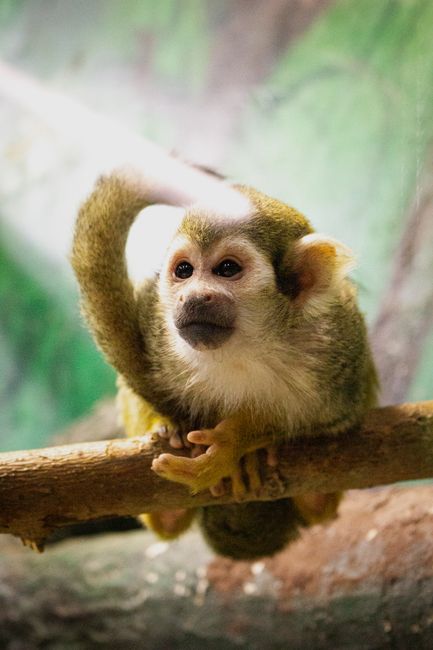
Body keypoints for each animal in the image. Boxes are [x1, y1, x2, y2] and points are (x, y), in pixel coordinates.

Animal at [71, 167, 378, 559]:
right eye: (184, 270)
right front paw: (171, 425)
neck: (249, 345)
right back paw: (169, 509)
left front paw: (237, 442)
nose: (193, 297)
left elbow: (336, 416)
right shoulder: (155, 321)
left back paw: (314, 498)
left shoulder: (336, 345)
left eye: (227, 269)